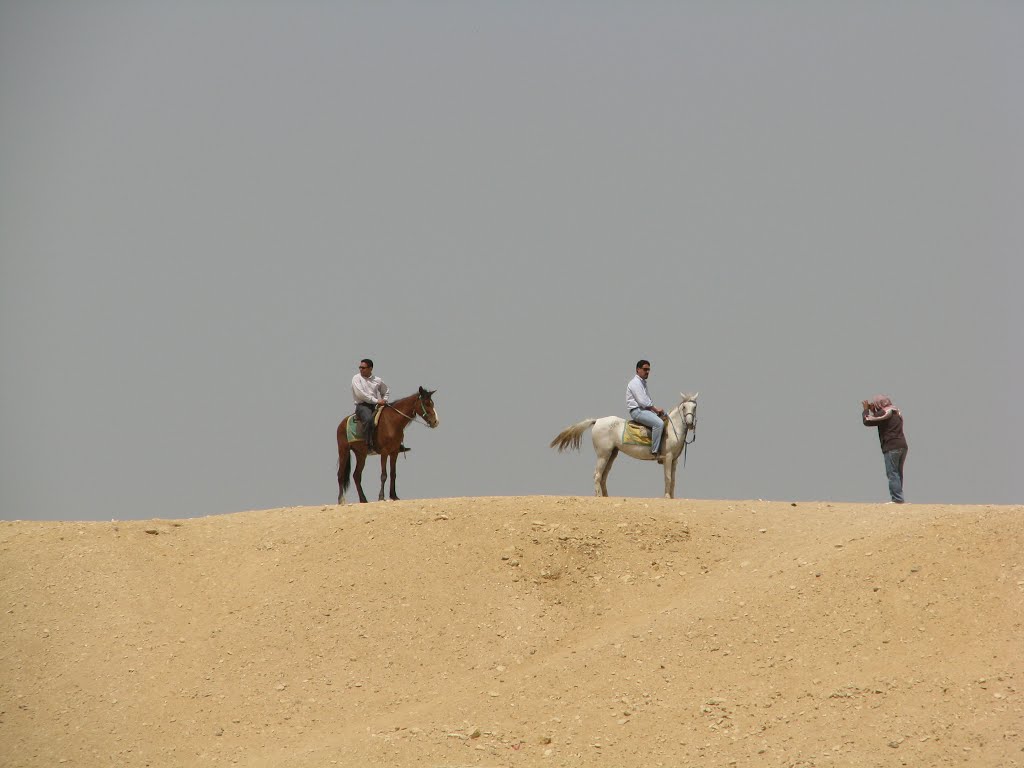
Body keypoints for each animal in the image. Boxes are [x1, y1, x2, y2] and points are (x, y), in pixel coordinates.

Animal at [552, 393, 696, 501]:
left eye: (694, 407)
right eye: (684, 407)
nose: (690, 424)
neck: (672, 430)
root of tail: (597, 421)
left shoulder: (674, 460)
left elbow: (673, 480)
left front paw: (672, 497)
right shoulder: (668, 457)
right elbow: (668, 477)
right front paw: (666, 497)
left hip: (612, 454)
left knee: (603, 476)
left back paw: (606, 496)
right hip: (603, 455)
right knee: (597, 475)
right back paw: (599, 497)